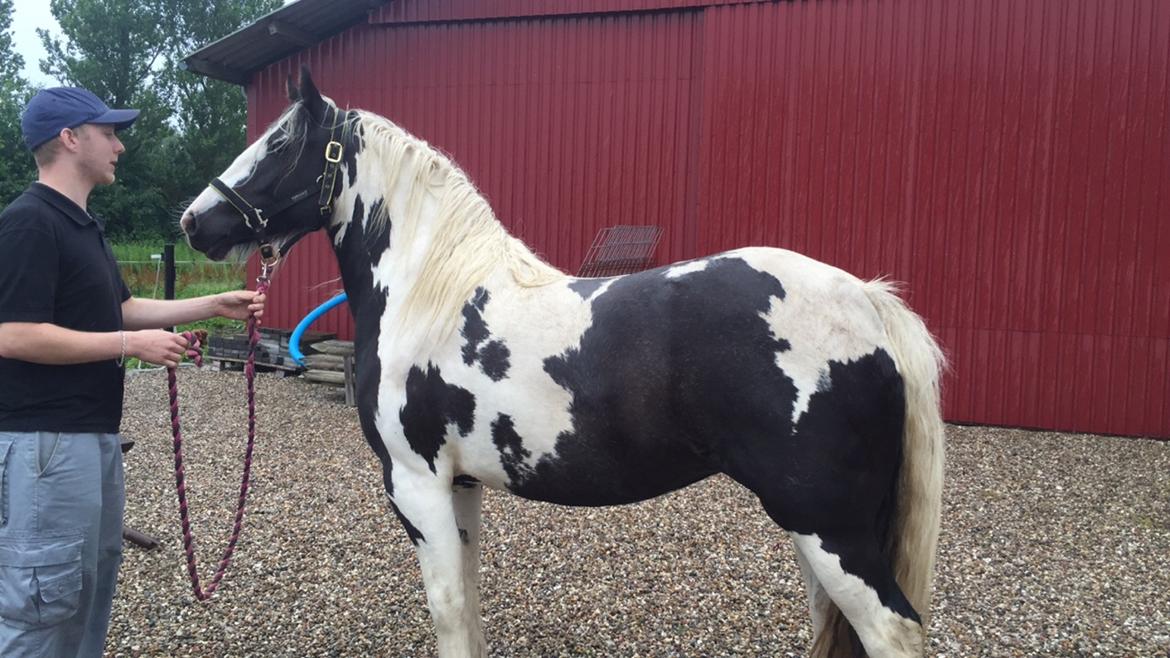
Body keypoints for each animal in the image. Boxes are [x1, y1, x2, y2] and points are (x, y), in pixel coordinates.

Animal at [184, 67, 950, 655]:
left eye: (282, 142)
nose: (195, 222)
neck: (430, 296)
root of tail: (867, 300)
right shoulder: (460, 487)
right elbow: (469, 603)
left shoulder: (416, 483)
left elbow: (449, 612)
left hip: (827, 523)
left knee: (891, 631)